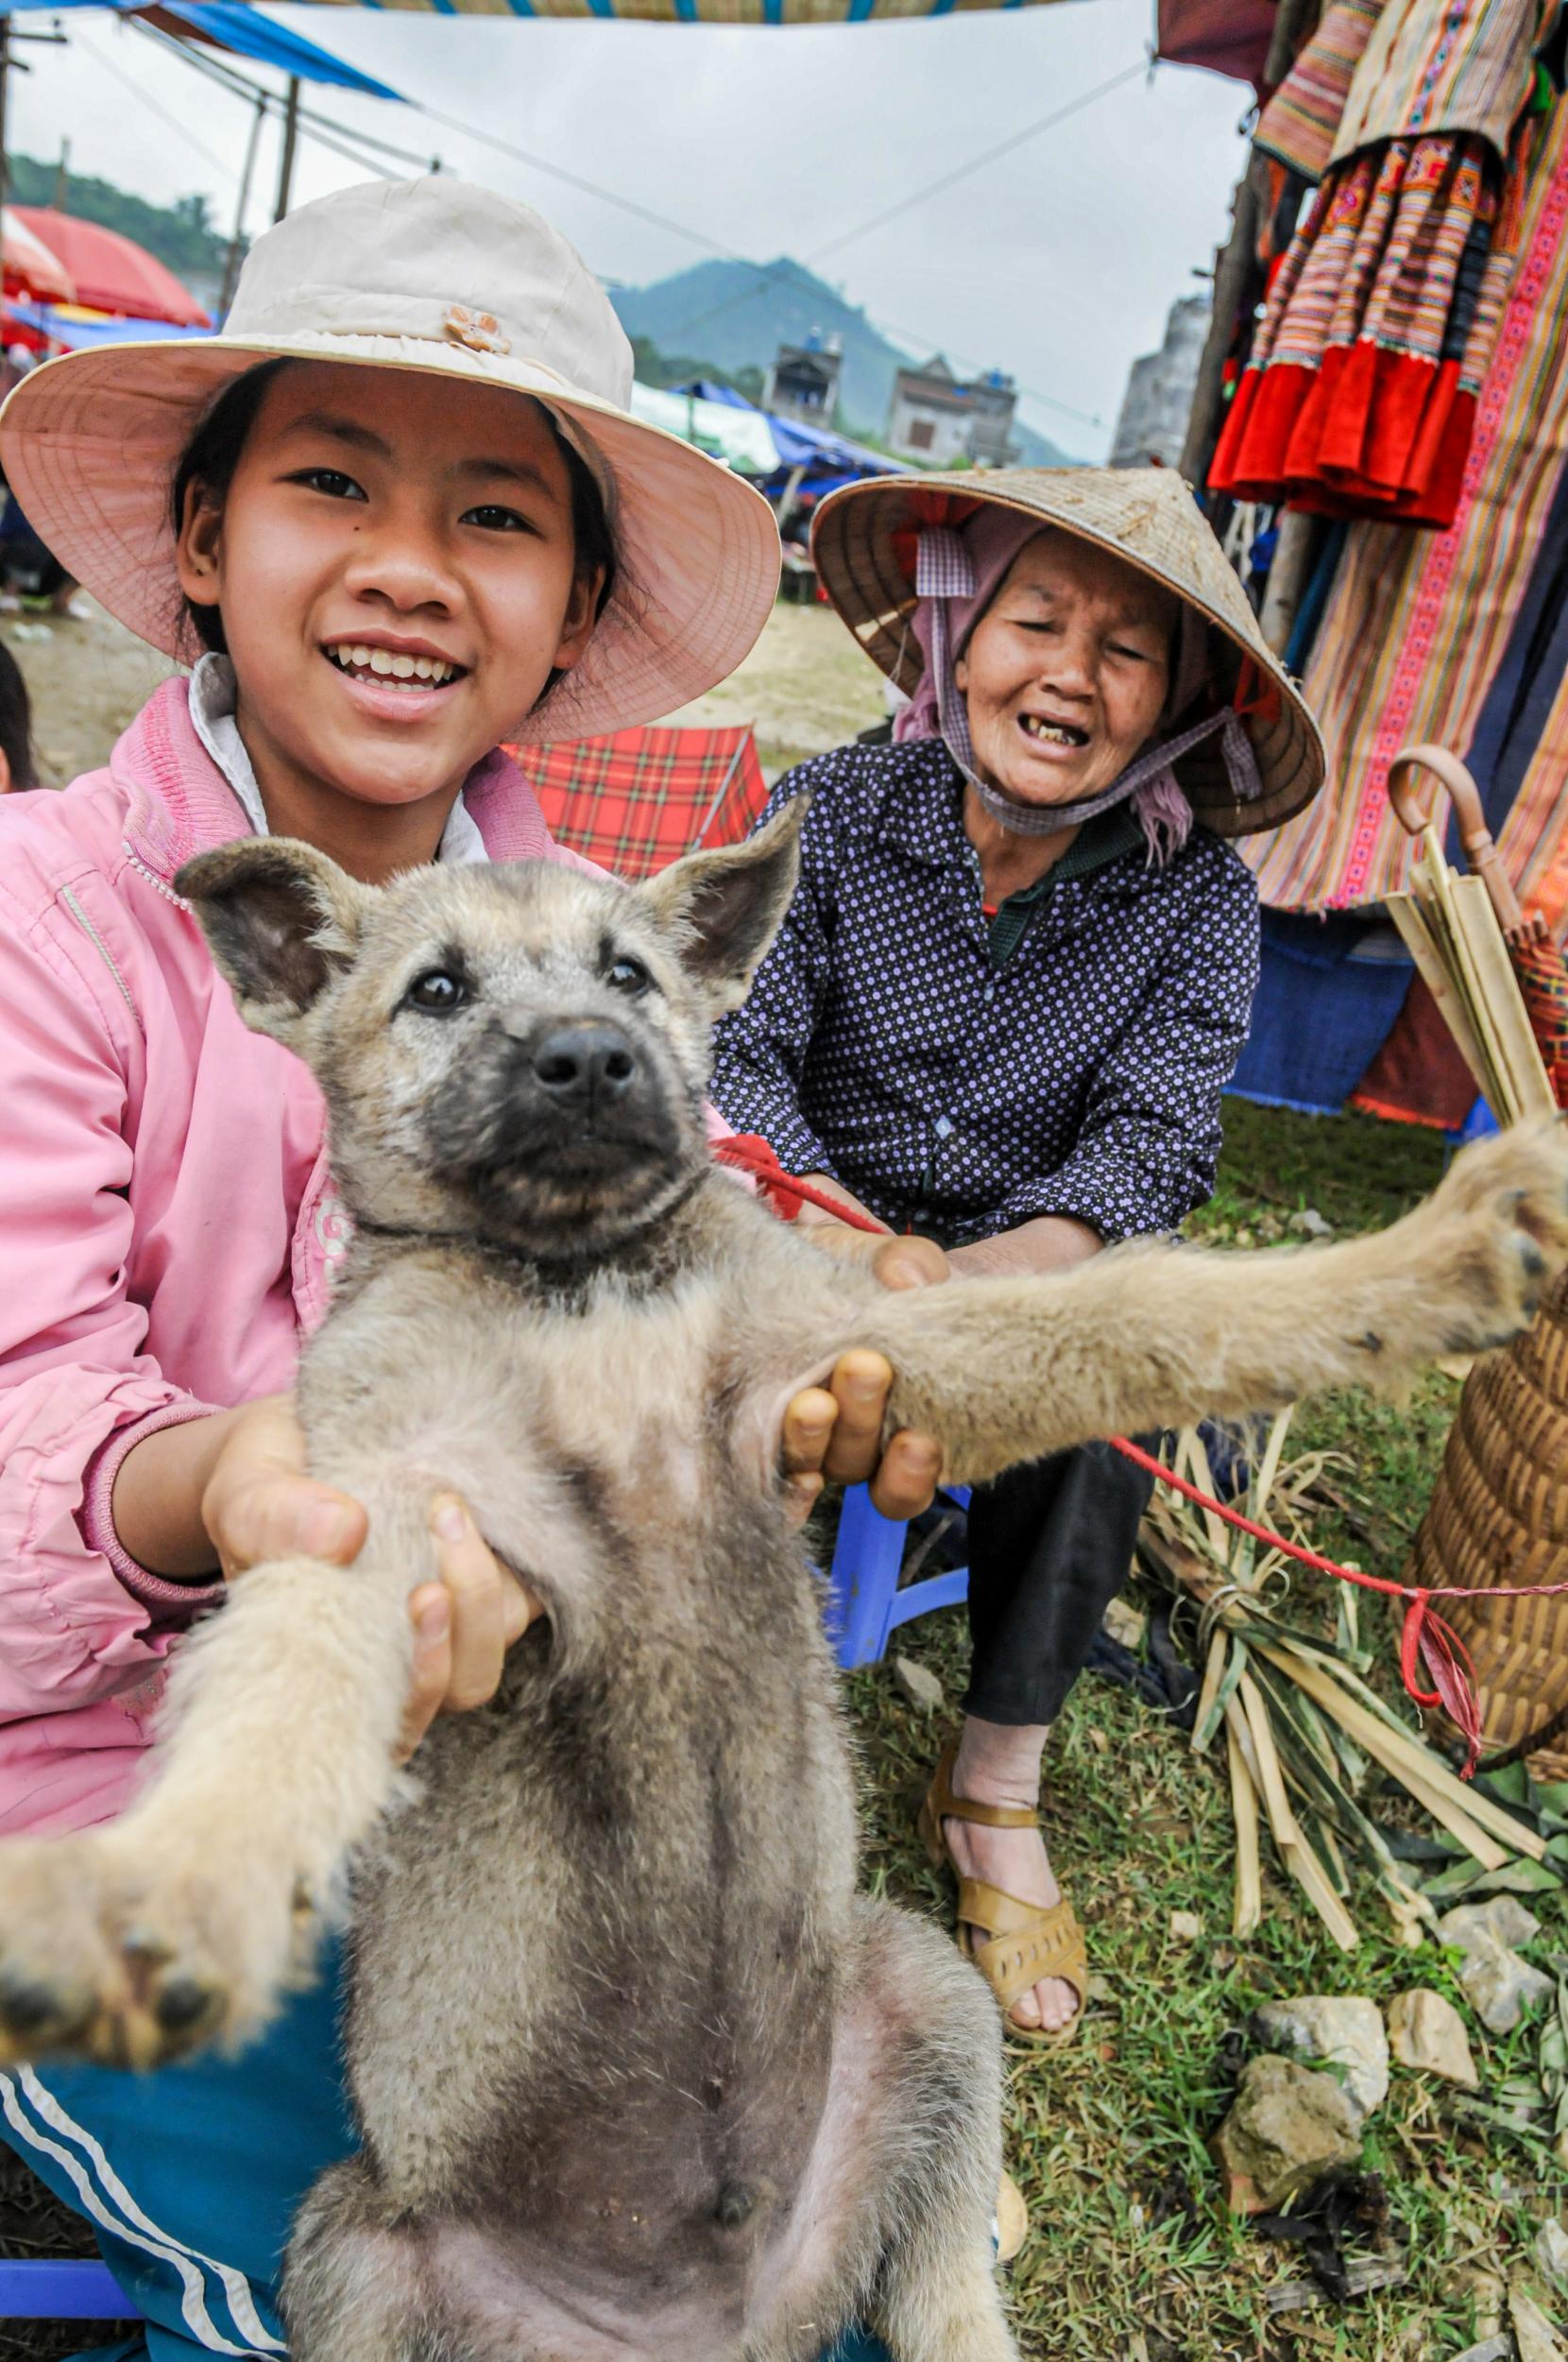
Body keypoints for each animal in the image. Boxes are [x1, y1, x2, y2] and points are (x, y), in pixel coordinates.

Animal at [0, 798, 1559, 2362]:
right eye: (435, 990)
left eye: (630, 976)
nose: (590, 1059)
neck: (582, 1284)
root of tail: (721, 2326)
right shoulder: (387, 1508)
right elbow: (280, 1693)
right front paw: (177, 1881)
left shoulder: (867, 1350)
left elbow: (1144, 1306)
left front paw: (1430, 1265)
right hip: (356, 2258)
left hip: (925, 1997)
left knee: (944, 2296)